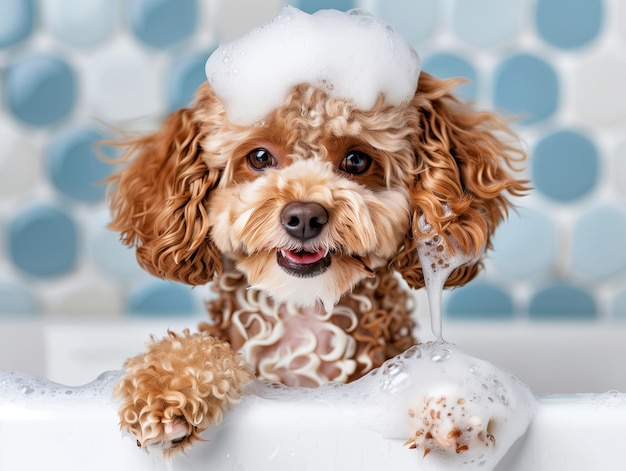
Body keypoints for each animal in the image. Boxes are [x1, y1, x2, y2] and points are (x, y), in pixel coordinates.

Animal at [107, 8, 528, 458]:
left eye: (357, 160)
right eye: (259, 157)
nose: (305, 216)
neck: (304, 316)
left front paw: (450, 402)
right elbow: (197, 349)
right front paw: (166, 390)